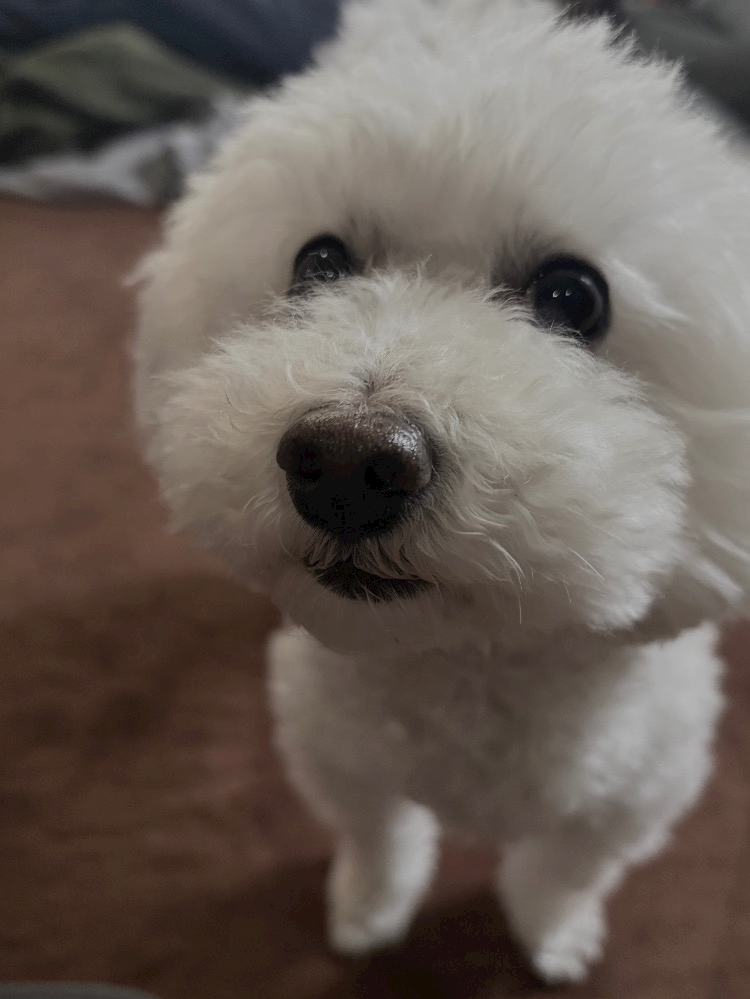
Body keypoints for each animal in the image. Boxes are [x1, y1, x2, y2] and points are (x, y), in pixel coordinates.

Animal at [132, 0, 750, 983]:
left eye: (573, 296)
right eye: (318, 263)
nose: (347, 462)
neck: (472, 662)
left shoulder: (632, 798)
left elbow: (567, 869)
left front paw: (553, 933)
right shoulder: (342, 755)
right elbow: (379, 840)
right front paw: (366, 912)